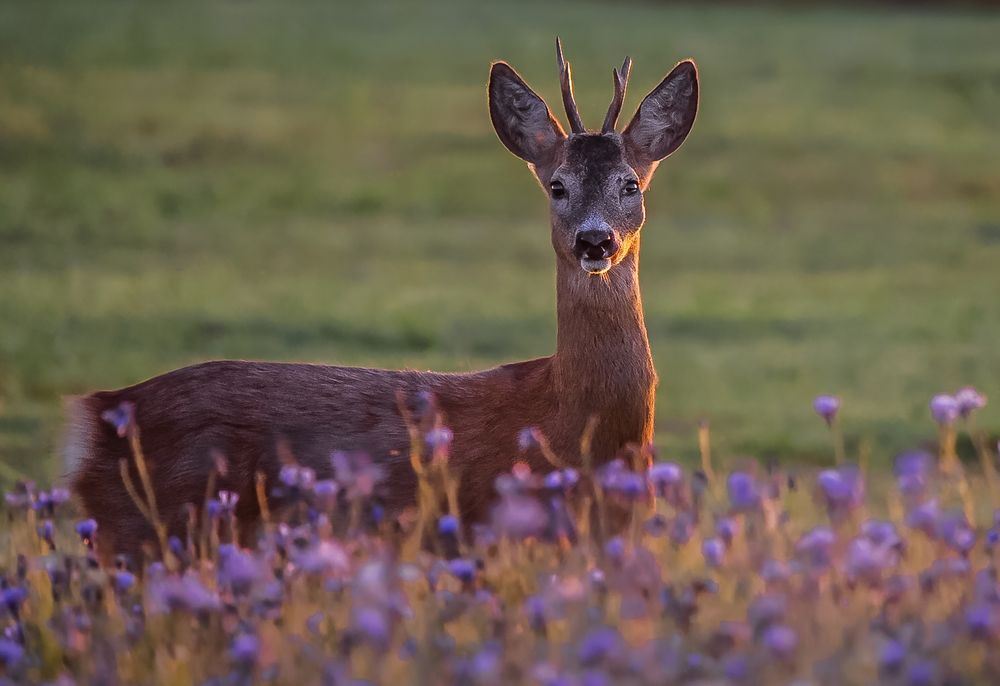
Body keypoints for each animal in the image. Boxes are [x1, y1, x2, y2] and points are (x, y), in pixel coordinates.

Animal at [60, 40, 696, 560]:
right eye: (557, 185)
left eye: (631, 184)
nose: (595, 240)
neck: (570, 427)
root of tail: (95, 418)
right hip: (152, 529)